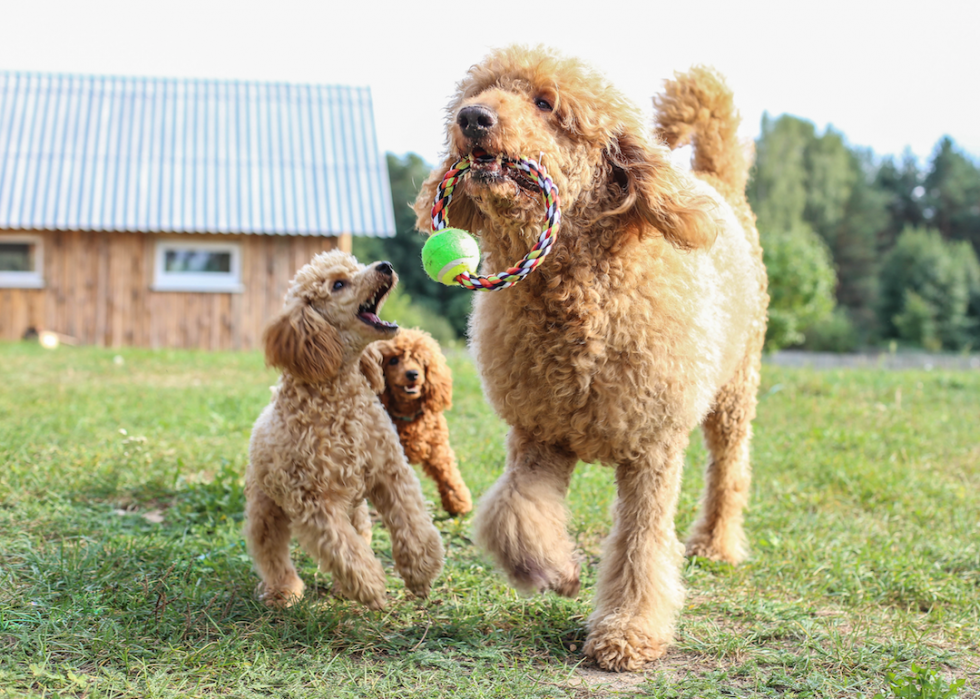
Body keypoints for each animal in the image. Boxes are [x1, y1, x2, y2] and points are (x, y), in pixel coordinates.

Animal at [245, 253, 444, 612]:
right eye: (338, 284)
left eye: (356, 266)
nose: (385, 266)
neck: (338, 399)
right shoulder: (314, 501)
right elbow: (343, 549)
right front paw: (371, 586)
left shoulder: (390, 471)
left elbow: (411, 522)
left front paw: (421, 571)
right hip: (265, 508)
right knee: (271, 551)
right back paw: (283, 591)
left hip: (356, 507)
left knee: (361, 532)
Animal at [370, 326, 472, 516]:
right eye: (393, 360)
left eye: (419, 360)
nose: (412, 374)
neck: (408, 414)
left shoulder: (437, 447)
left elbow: (448, 473)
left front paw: (458, 502)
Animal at [414, 45, 764, 672]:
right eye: (476, 93)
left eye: (545, 103)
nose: (473, 118)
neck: (577, 293)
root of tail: (715, 182)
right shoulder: (539, 432)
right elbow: (514, 512)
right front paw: (554, 571)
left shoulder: (653, 448)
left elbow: (641, 545)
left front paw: (627, 632)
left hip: (734, 391)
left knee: (729, 471)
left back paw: (716, 546)